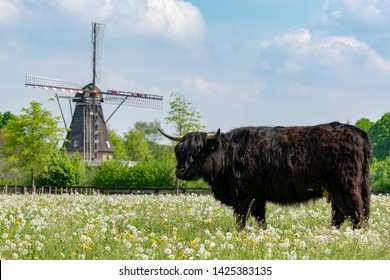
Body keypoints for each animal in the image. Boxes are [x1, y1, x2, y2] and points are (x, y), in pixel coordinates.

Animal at [159, 122, 372, 230]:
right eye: (179, 151)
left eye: (198, 151)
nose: (180, 171)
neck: (229, 154)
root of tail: (357, 131)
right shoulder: (259, 194)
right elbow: (259, 216)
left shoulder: (244, 193)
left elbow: (241, 215)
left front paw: (241, 233)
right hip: (335, 189)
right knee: (341, 212)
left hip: (346, 184)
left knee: (356, 210)